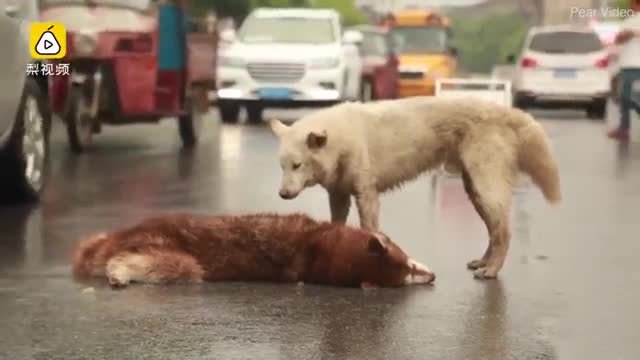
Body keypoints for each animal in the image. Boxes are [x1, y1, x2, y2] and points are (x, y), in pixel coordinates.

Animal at [270, 96, 560, 278]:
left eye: (297, 165)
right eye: (281, 166)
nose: (282, 195)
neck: (340, 140)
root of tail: (506, 112)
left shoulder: (367, 195)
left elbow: (369, 229)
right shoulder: (339, 195)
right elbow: (336, 226)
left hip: (486, 187)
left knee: (503, 232)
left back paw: (491, 270)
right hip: (475, 191)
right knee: (494, 230)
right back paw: (484, 262)